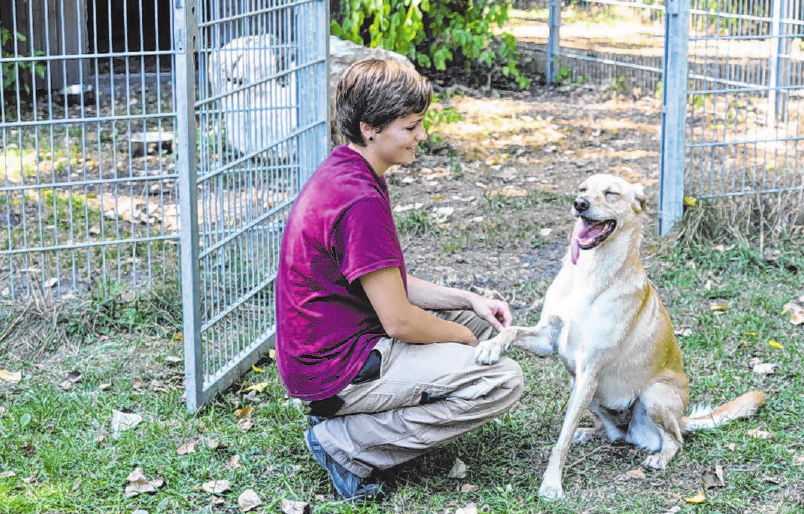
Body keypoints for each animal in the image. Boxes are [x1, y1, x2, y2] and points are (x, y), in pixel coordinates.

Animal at [478, 174, 768, 498]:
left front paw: (552, 483)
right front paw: (491, 346)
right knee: (612, 433)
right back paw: (589, 432)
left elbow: (560, 442)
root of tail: (681, 419)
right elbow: (511, 329)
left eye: (610, 193)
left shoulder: (589, 369)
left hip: (651, 395)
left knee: (677, 441)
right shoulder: (550, 340)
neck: (589, 273)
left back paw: (660, 457)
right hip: (581, 389)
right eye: (582, 189)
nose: (579, 204)